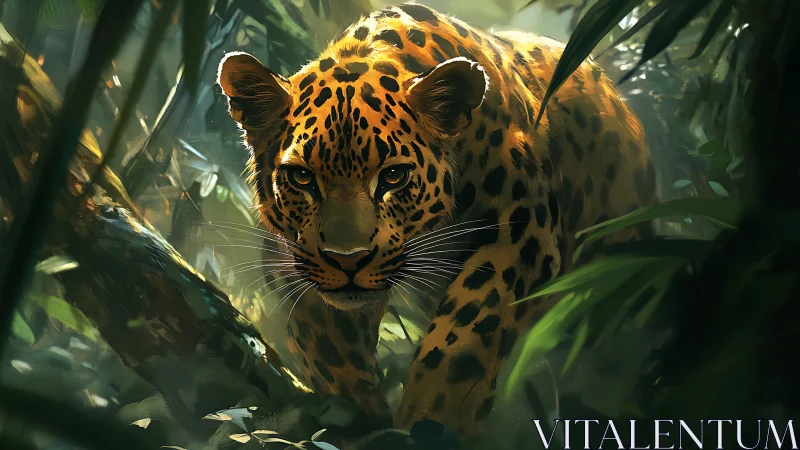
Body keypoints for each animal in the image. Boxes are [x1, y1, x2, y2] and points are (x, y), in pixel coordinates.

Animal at [216, 1, 656, 439]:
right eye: (302, 177)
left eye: (394, 176)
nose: (347, 260)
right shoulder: (295, 260)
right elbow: (328, 350)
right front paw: (360, 416)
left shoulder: (520, 237)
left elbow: (464, 339)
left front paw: (430, 419)